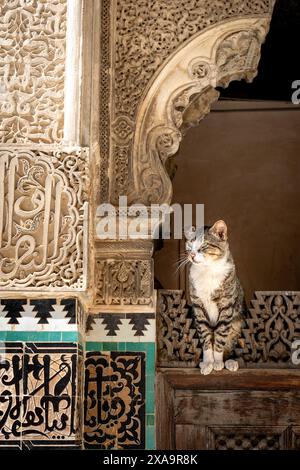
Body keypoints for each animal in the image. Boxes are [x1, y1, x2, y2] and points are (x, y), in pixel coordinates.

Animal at [186, 220, 245, 374]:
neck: (208, 270)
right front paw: (208, 363)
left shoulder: (226, 307)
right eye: (189, 245)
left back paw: (230, 361)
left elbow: (220, 335)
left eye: (203, 245)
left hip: (238, 323)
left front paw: (217, 362)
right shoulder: (198, 308)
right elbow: (205, 336)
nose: (192, 254)